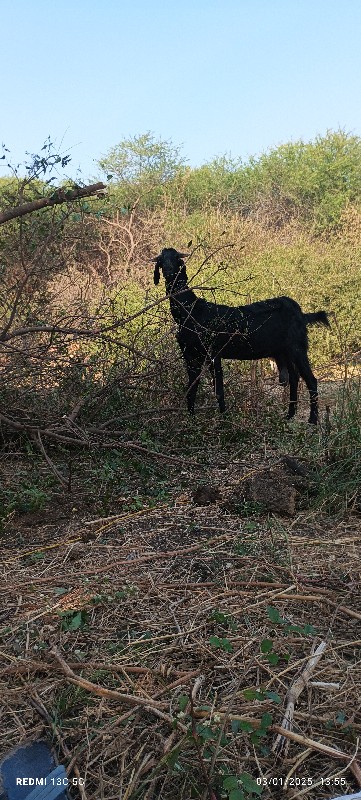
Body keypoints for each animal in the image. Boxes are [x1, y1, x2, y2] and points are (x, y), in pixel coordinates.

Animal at [151, 248, 330, 424]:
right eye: (161, 261)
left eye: (176, 258)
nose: (169, 272)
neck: (191, 311)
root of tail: (301, 314)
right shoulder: (190, 355)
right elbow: (191, 388)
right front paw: (190, 419)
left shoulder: (213, 353)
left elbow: (218, 389)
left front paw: (224, 419)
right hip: (283, 352)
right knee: (294, 378)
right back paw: (290, 415)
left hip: (297, 348)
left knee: (311, 380)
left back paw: (313, 419)